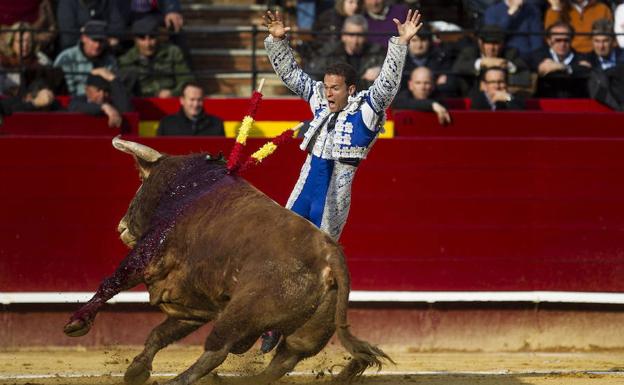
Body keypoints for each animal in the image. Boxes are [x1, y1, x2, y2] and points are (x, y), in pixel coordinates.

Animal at [64, 138, 394, 384]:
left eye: (139, 186)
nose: (120, 227)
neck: (184, 186)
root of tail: (330, 255)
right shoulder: (193, 302)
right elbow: (160, 332)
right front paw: (136, 371)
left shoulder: (147, 257)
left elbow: (113, 282)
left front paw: (76, 323)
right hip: (306, 332)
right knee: (282, 361)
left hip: (241, 313)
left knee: (217, 350)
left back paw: (183, 381)